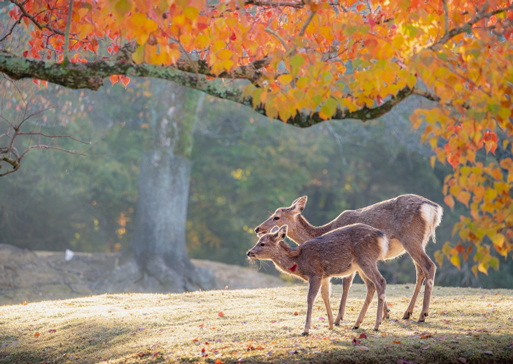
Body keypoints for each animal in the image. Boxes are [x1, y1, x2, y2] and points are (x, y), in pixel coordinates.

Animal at [246, 225, 386, 336]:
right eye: (258, 241)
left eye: (262, 243)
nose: (249, 252)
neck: (299, 261)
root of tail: (381, 236)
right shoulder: (325, 276)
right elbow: (325, 295)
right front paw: (330, 325)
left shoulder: (315, 273)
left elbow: (310, 298)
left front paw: (305, 330)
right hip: (360, 265)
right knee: (371, 286)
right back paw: (357, 324)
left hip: (366, 258)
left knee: (380, 281)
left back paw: (376, 325)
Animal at [254, 195, 442, 322]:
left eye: (276, 217)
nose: (257, 228)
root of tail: (434, 209)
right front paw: (386, 313)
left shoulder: (348, 257)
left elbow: (346, 283)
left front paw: (339, 319)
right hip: (420, 241)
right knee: (420, 271)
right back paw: (407, 313)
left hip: (411, 238)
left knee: (429, 266)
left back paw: (423, 314)